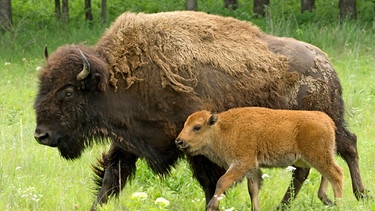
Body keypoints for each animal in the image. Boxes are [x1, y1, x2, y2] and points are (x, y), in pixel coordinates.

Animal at [176, 108, 344, 210]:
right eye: (185, 124)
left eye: (197, 127)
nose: (179, 141)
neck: (224, 128)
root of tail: (327, 120)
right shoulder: (252, 168)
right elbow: (253, 190)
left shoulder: (242, 164)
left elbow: (222, 182)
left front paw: (211, 206)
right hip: (317, 158)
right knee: (328, 175)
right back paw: (327, 199)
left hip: (318, 157)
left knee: (336, 174)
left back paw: (338, 204)